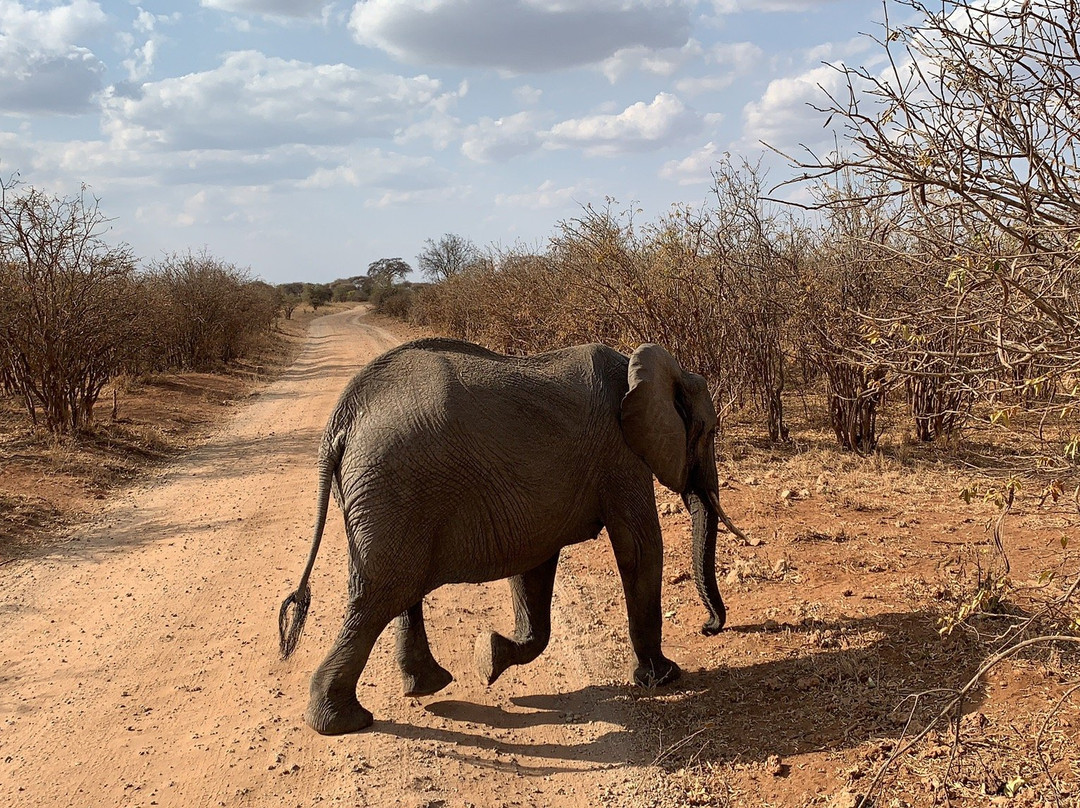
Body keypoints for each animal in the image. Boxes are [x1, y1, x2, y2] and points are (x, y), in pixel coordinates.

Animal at [276, 334, 743, 730]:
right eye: (710, 432)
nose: (710, 628)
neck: (643, 366)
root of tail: (342, 420)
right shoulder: (620, 454)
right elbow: (639, 549)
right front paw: (664, 678)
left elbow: (535, 564)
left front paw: (488, 658)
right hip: (392, 487)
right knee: (379, 595)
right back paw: (343, 723)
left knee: (397, 590)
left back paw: (425, 687)